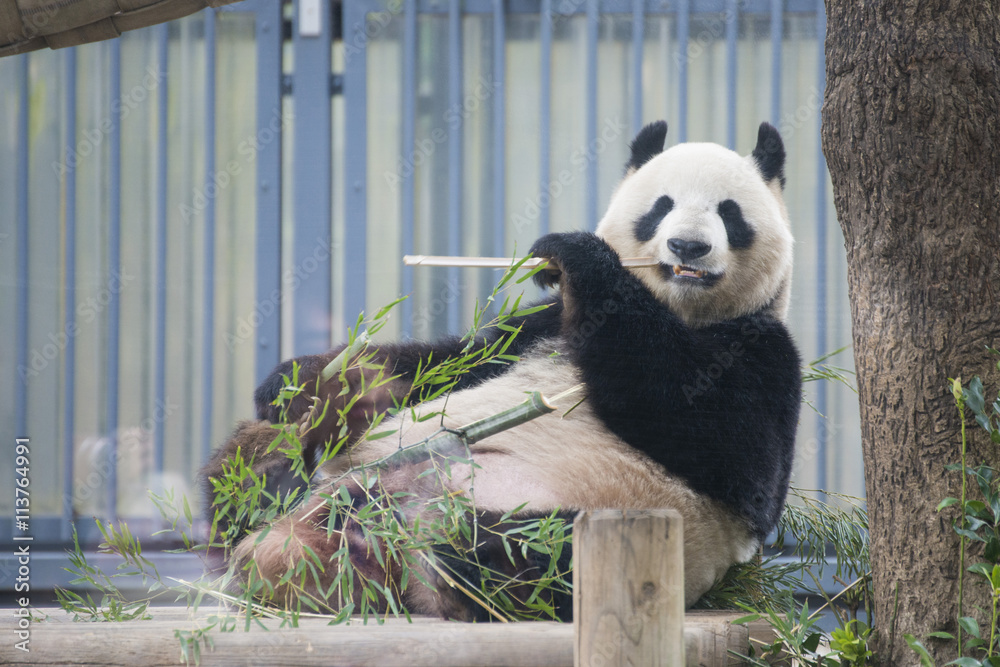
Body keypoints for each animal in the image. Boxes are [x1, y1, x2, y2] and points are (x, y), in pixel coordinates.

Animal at [200, 120, 801, 621]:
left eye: (729, 213)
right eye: (661, 206)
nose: (687, 246)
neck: (678, 309)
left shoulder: (763, 352)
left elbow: (715, 430)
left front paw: (575, 251)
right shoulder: (536, 328)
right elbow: (443, 362)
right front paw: (304, 382)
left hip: (596, 517)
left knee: (520, 555)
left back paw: (415, 549)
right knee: (243, 477)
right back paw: (274, 474)